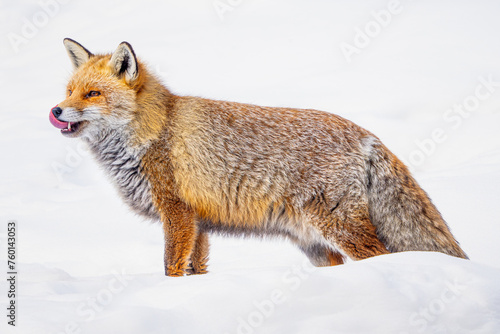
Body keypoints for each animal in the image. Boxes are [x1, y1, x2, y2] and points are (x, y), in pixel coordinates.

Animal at [48, 37, 466, 276]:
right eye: (69, 91)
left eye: (92, 94)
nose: (55, 111)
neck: (153, 131)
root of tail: (366, 133)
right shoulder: (199, 221)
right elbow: (196, 269)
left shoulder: (177, 212)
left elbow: (170, 266)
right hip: (312, 242)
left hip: (339, 226)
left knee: (377, 256)